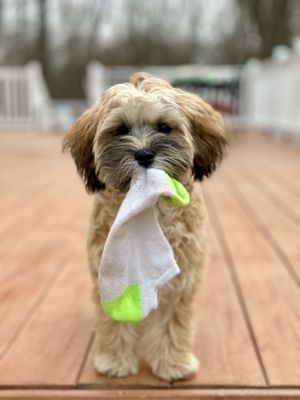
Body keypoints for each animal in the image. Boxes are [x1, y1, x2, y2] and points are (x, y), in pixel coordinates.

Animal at [62, 72, 225, 382]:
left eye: (164, 127)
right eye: (121, 130)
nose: (144, 154)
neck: (152, 206)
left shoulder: (182, 279)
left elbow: (173, 323)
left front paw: (173, 363)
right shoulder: (110, 275)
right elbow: (114, 320)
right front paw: (114, 359)